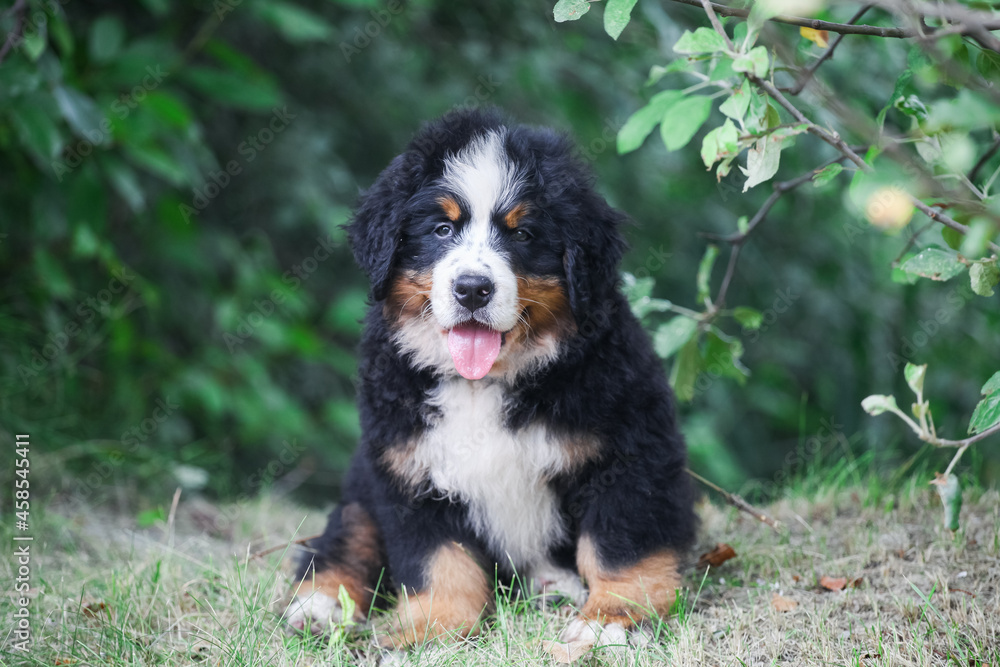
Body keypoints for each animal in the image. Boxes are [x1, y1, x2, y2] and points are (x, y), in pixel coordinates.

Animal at [284, 108, 696, 648]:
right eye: (442, 229)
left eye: (522, 235)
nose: (473, 288)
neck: (484, 383)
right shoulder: (411, 468)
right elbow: (440, 561)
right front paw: (432, 626)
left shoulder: (628, 453)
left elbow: (620, 545)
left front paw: (613, 617)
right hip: (362, 485)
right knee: (348, 537)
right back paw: (319, 604)